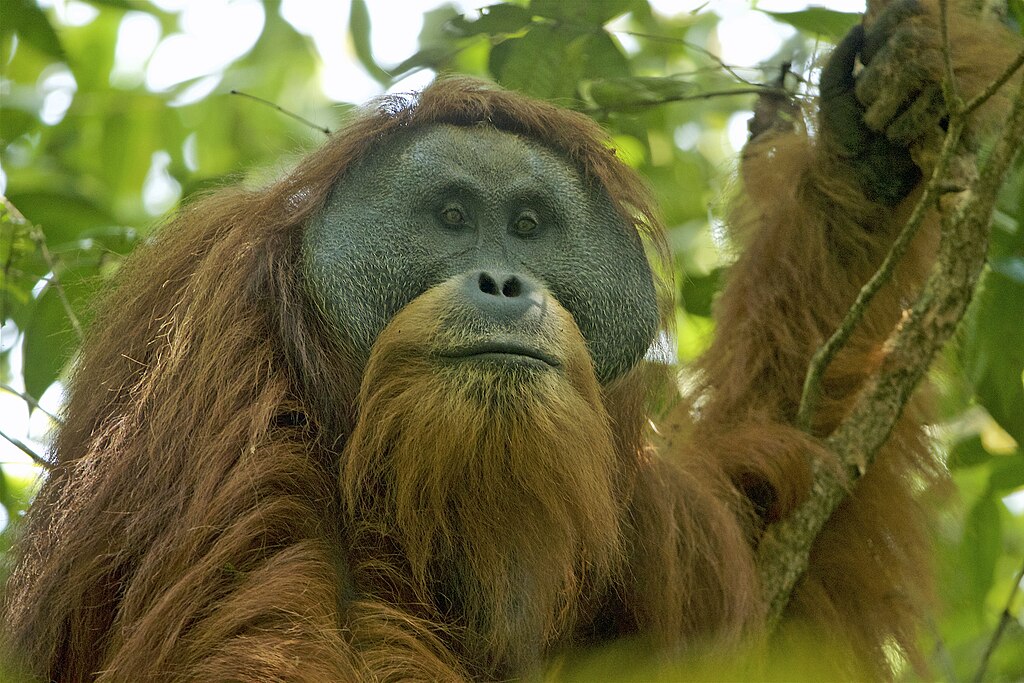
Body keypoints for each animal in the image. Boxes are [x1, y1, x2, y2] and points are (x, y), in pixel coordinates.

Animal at [2, 1, 1019, 680]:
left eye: (528, 226)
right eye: (452, 217)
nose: (503, 282)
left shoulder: (634, 508)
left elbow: (764, 542)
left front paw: (871, 143)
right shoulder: (216, 345)